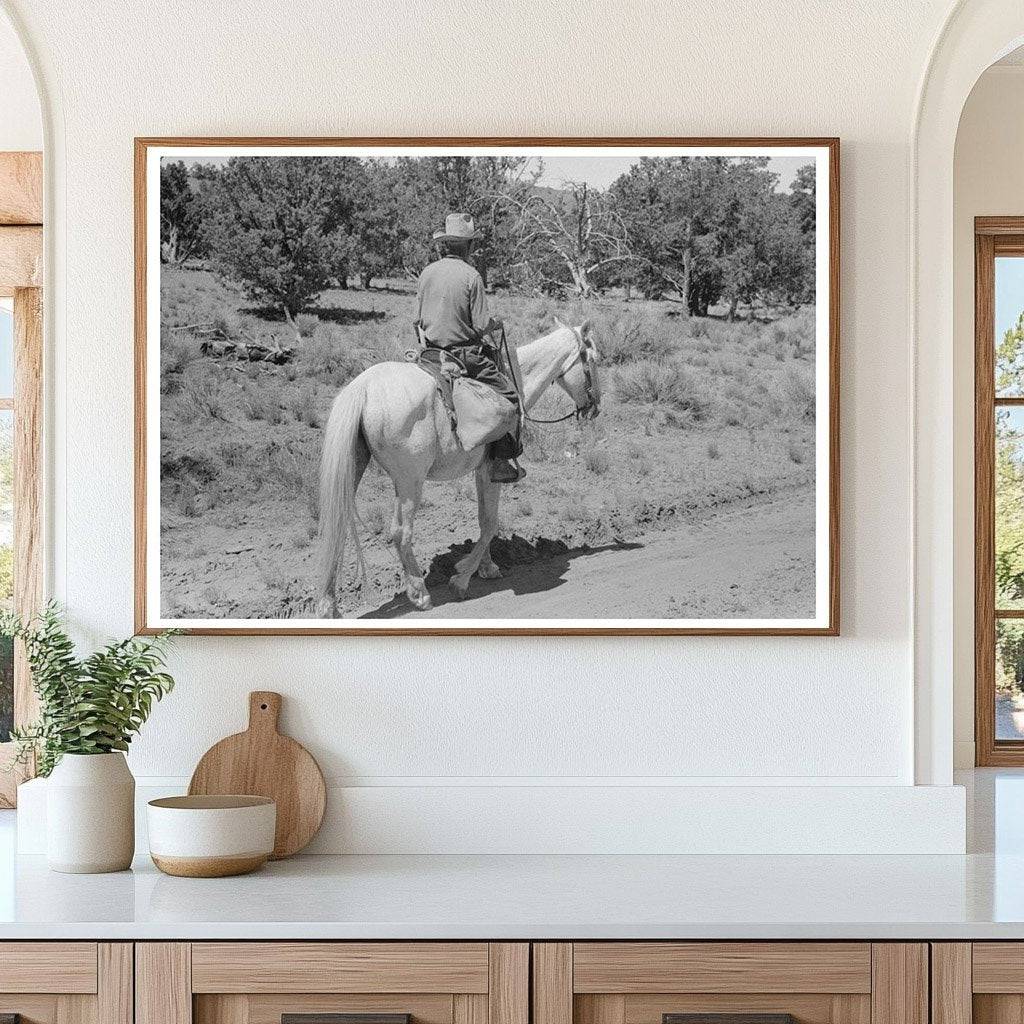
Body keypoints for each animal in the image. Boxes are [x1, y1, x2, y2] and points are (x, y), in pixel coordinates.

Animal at [315, 319, 598, 610]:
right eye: (594, 359)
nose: (595, 406)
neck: (517, 380)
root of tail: (363, 388)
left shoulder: (481, 471)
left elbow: (484, 519)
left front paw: (486, 567)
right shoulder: (492, 470)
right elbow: (490, 523)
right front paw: (462, 577)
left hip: (355, 468)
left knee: (337, 527)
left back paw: (328, 605)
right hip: (409, 481)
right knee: (401, 531)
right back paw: (420, 593)